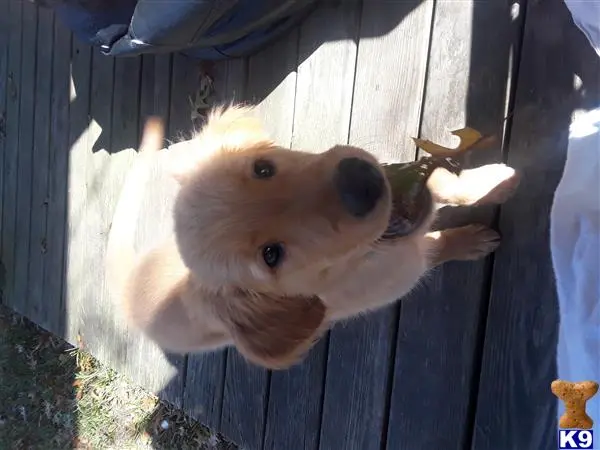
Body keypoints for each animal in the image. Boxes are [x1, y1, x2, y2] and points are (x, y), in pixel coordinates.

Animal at [108, 104, 520, 370]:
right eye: (271, 255)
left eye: (263, 168)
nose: (361, 181)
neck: (368, 257)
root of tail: (127, 282)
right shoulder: (405, 267)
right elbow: (437, 246)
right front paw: (471, 242)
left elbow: (440, 181)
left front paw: (495, 182)